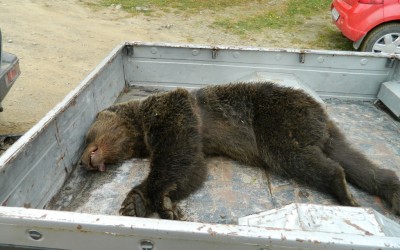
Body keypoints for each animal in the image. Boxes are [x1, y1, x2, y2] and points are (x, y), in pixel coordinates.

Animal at [79, 81, 400, 219]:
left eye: (85, 137)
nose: (82, 161)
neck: (138, 130)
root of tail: (319, 113)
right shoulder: (197, 143)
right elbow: (192, 169)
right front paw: (138, 203)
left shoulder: (170, 112)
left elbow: (175, 153)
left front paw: (152, 198)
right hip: (322, 132)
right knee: (356, 160)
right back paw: (389, 189)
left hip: (278, 121)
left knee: (298, 157)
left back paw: (341, 188)